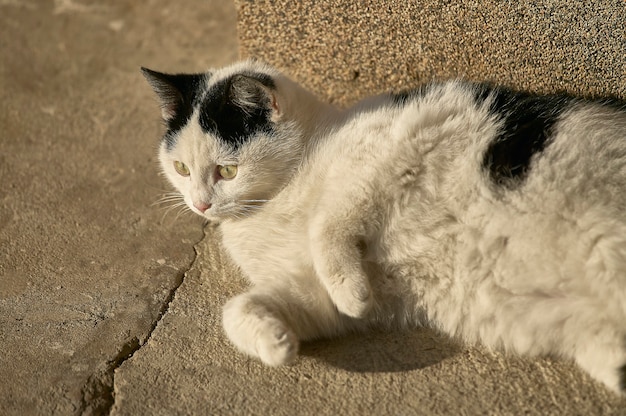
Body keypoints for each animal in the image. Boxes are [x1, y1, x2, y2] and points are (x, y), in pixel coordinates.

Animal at [143, 58, 624, 394]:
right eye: (181, 168)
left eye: (227, 171)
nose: (200, 203)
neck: (278, 200)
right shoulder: (307, 291)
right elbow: (238, 309)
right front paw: (276, 345)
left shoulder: (384, 152)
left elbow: (327, 224)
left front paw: (353, 294)